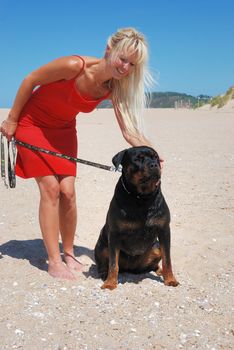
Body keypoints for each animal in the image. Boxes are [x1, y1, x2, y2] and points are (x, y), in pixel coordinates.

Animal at [94, 146, 178, 290]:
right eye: (138, 159)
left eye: (156, 157)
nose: (154, 164)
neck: (141, 198)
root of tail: (132, 269)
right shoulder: (114, 234)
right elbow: (113, 264)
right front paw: (110, 282)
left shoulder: (164, 230)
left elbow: (167, 259)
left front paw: (170, 279)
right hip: (102, 245)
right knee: (106, 262)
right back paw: (104, 273)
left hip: (156, 246)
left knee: (155, 263)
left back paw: (159, 271)